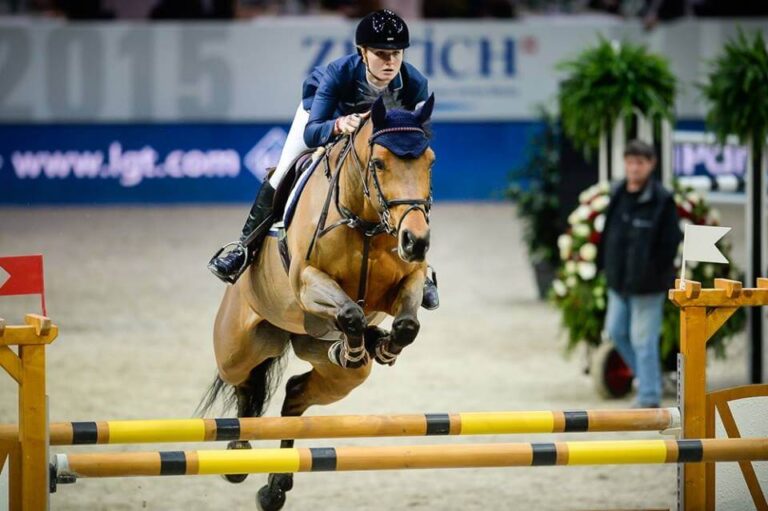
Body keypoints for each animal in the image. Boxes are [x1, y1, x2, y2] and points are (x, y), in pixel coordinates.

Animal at [201, 96, 436, 511]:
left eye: (430, 161)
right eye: (379, 163)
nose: (415, 241)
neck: (366, 221)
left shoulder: (407, 281)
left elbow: (407, 323)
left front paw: (382, 346)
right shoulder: (307, 282)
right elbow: (349, 312)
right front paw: (358, 346)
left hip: (333, 369)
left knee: (295, 394)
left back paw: (275, 487)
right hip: (238, 347)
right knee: (244, 383)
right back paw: (239, 456)